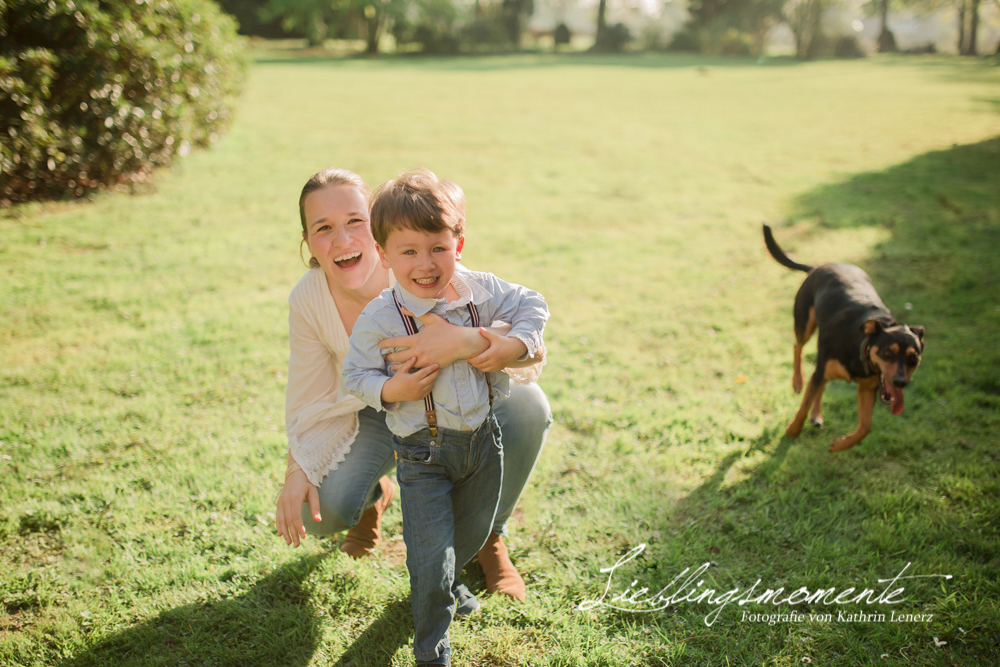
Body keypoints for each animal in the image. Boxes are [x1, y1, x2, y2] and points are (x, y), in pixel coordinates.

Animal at [760, 226, 924, 454]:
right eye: (887, 353)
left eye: (913, 359)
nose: (900, 382)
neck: (862, 347)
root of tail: (818, 267)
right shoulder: (821, 371)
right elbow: (803, 405)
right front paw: (792, 430)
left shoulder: (867, 388)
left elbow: (865, 427)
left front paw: (840, 444)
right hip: (804, 323)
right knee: (797, 347)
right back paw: (797, 381)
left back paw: (816, 414)